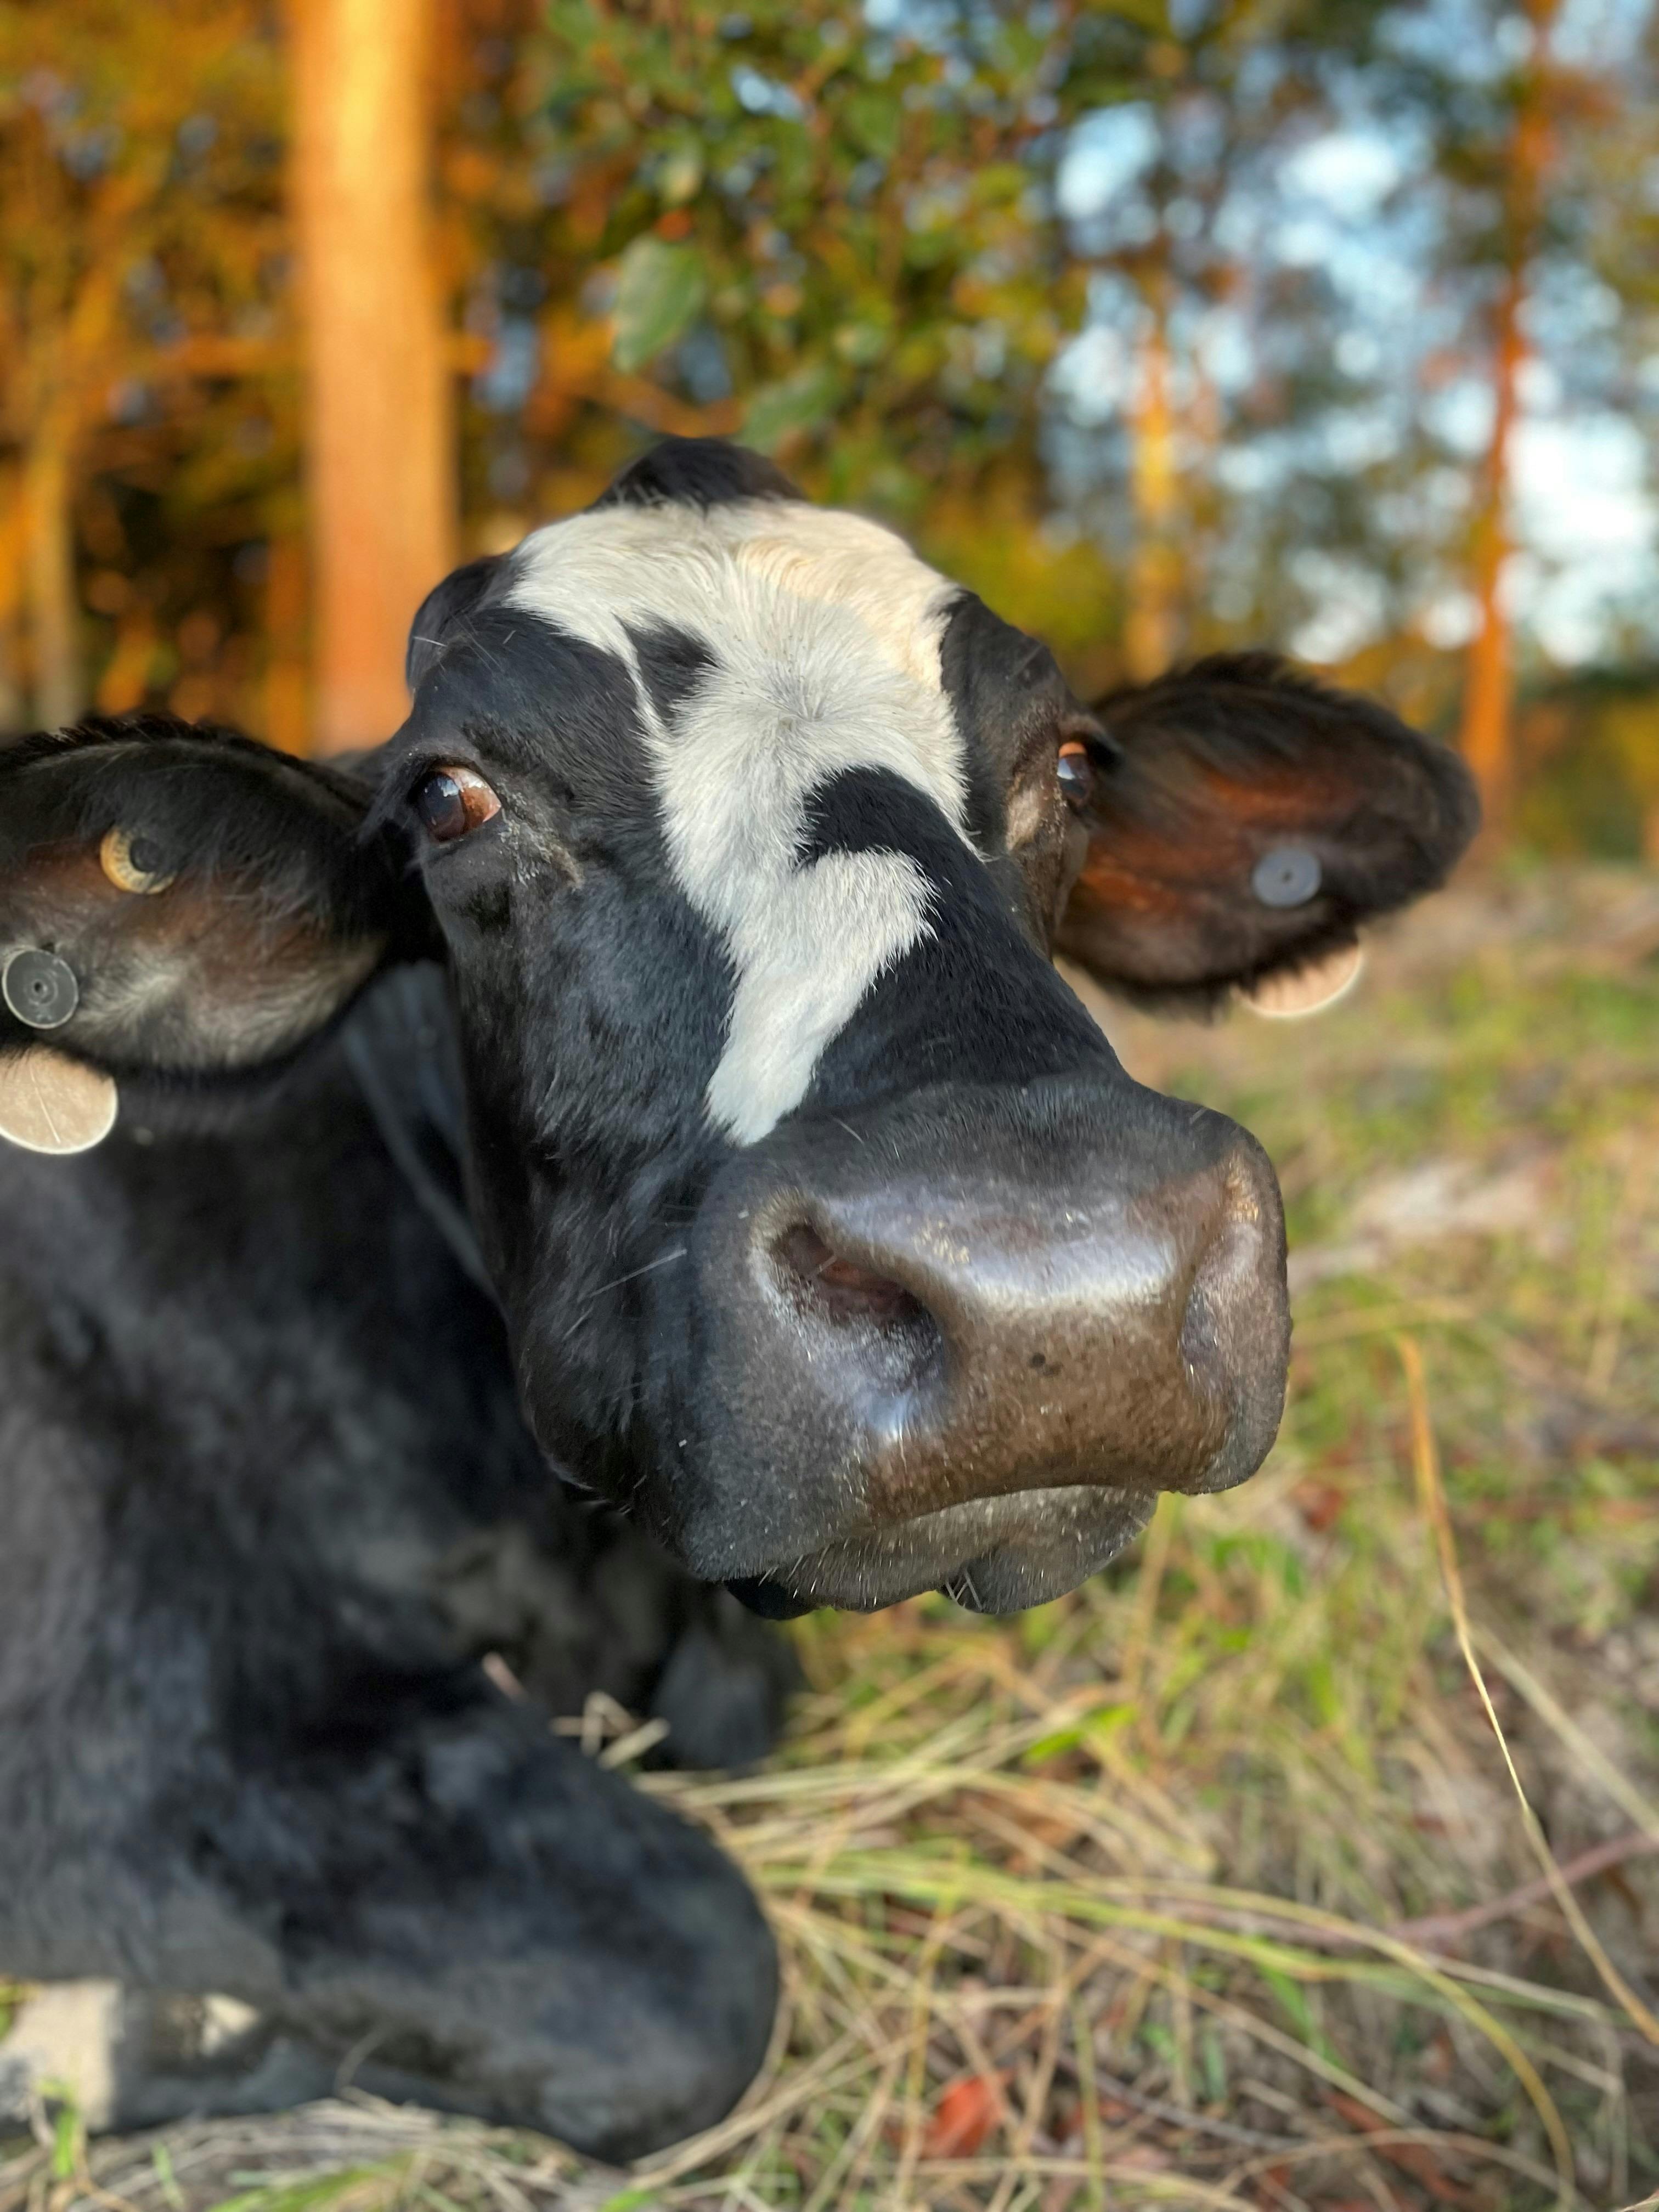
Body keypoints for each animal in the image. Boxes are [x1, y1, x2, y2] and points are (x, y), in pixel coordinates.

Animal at [0, 438, 1477, 2159]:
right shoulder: (125, 1726)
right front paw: (99, 2034)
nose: (1056, 1284)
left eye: (1071, 768)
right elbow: (697, 1972)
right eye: (451, 795)